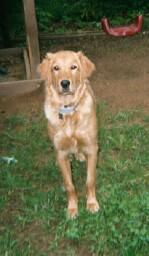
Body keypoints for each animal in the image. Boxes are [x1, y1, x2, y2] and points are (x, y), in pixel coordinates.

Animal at [37, 50, 99, 218]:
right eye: (56, 68)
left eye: (74, 67)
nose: (65, 83)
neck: (69, 111)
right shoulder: (61, 152)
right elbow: (70, 185)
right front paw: (72, 209)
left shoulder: (92, 148)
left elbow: (90, 181)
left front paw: (92, 204)